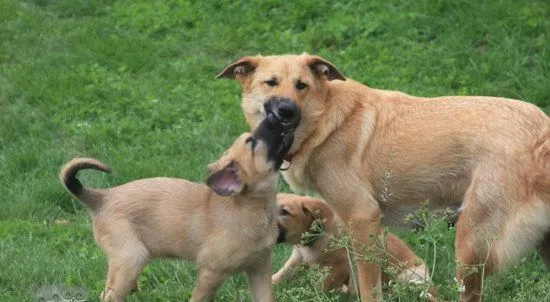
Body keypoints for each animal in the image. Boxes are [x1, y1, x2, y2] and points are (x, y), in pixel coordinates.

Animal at [59, 104, 300, 302]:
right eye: (252, 142)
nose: (275, 113)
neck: (253, 209)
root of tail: (102, 197)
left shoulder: (259, 270)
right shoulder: (211, 273)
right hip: (131, 258)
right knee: (109, 296)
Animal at [274, 192, 434, 298]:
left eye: (285, 212)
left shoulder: (343, 263)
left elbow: (323, 284)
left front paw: (312, 295)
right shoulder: (297, 258)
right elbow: (280, 274)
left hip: (408, 276)